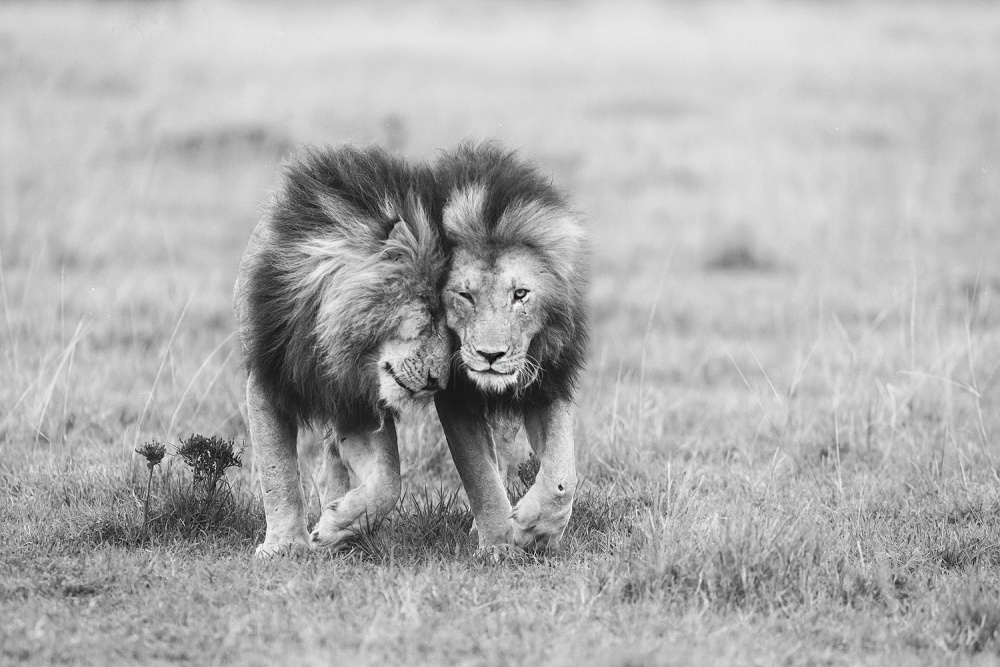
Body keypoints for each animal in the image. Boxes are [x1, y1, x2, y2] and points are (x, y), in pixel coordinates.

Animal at [234, 145, 451, 557]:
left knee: (333, 464)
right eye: (430, 314)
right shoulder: (268, 381)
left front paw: (338, 526)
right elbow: (278, 472)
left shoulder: (357, 404)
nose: (437, 382)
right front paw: (285, 544)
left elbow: (388, 481)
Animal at [433, 141, 589, 554]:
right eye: (464, 296)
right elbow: (478, 475)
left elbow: (561, 475)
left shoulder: (548, 381)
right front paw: (499, 542)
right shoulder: (455, 398)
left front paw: (537, 528)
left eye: (520, 294)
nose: (491, 356)